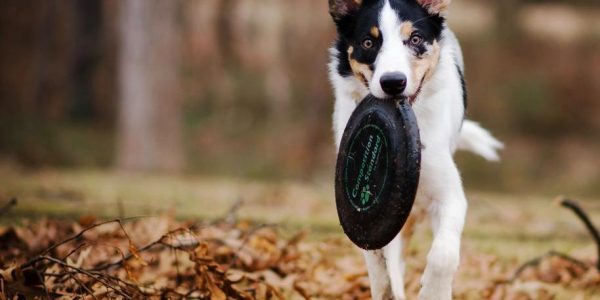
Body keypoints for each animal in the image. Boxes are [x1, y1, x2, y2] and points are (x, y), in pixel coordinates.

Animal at [326, 1, 504, 298]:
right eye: (368, 42)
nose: (393, 82)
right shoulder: (376, 220)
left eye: (415, 39)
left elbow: (444, 255)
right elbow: (382, 268)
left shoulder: (448, 194)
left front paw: (434, 291)